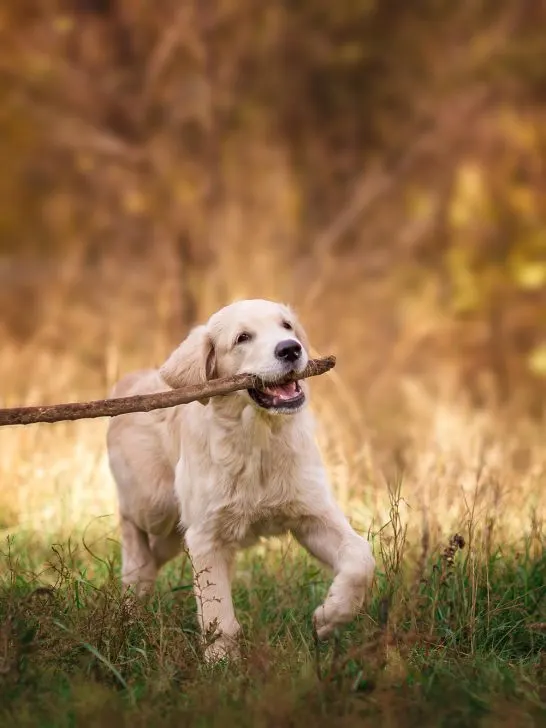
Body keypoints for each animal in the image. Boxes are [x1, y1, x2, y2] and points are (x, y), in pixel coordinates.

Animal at [108, 298, 376, 664]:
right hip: (157, 506)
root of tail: (132, 380)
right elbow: (218, 616)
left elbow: (361, 557)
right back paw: (132, 587)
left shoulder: (313, 515)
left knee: (155, 555)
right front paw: (222, 665)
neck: (259, 438)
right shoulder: (206, 537)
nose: (290, 349)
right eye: (242, 338)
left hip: (178, 532)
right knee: (130, 524)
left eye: (286, 326)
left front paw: (330, 616)